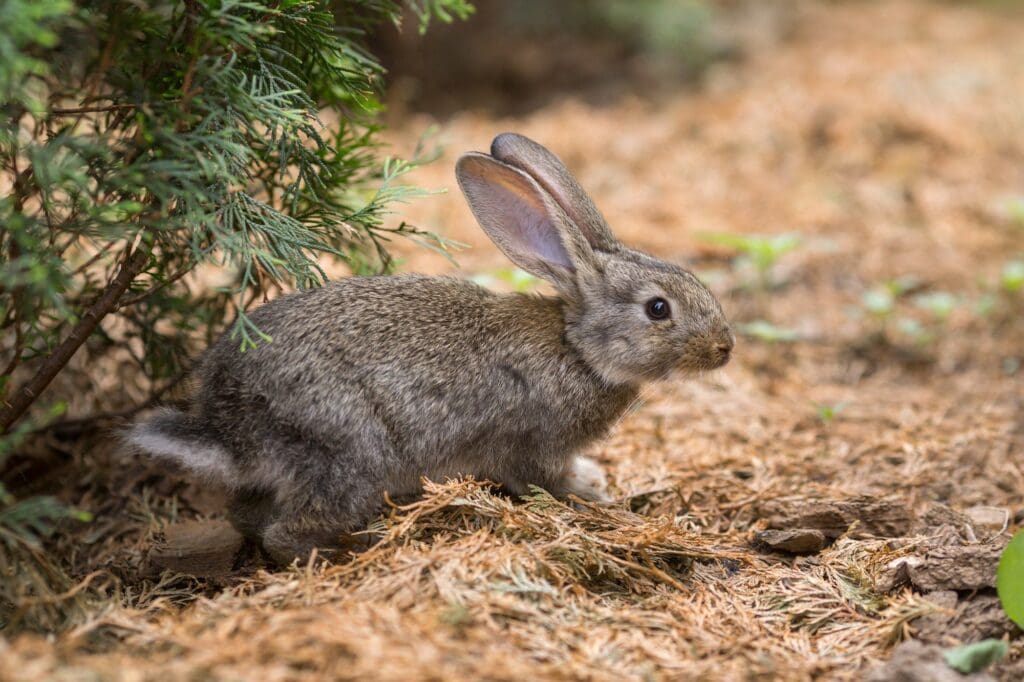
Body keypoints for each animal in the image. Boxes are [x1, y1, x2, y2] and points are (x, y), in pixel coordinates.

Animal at [128, 133, 733, 561]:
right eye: (658, 309)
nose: (724, 348)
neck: (577, 349)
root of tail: (228, 424)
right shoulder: (531, 443)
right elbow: (541, 479)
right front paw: (586, 490)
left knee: (246, 518)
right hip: (350, 454)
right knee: (286, 533)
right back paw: (358, 548)